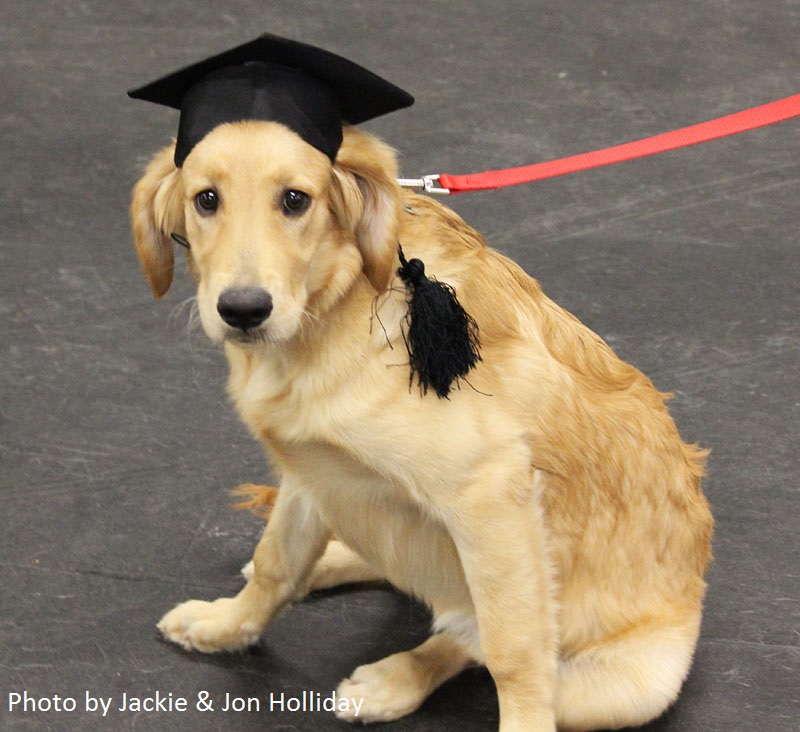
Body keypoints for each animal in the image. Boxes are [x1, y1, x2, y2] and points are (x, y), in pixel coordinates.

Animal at [130, 121, 712, 732]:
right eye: (206, 199)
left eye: (295, 200)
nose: (243, 310)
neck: (337, 304)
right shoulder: (312, 466)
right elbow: (276, 561)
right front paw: (227, 626)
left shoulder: (491, 497)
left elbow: (513, 652)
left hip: (631, 682)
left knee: (468, 636)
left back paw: (395, 678)